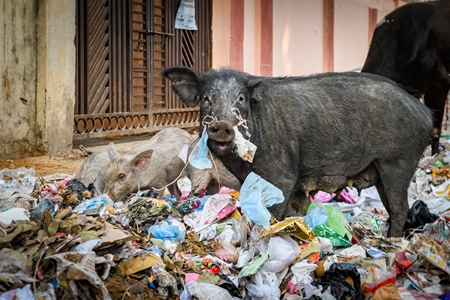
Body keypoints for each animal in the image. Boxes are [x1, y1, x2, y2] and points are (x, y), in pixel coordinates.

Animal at [163, 67, 432, 238]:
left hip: (397, 162)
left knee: (400, 208)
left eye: (240, 98)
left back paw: (392, 243)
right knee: (395, 208)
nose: (222, 124)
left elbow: (274, 211)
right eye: (207, 98)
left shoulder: (282, 174)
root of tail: (425, 113)